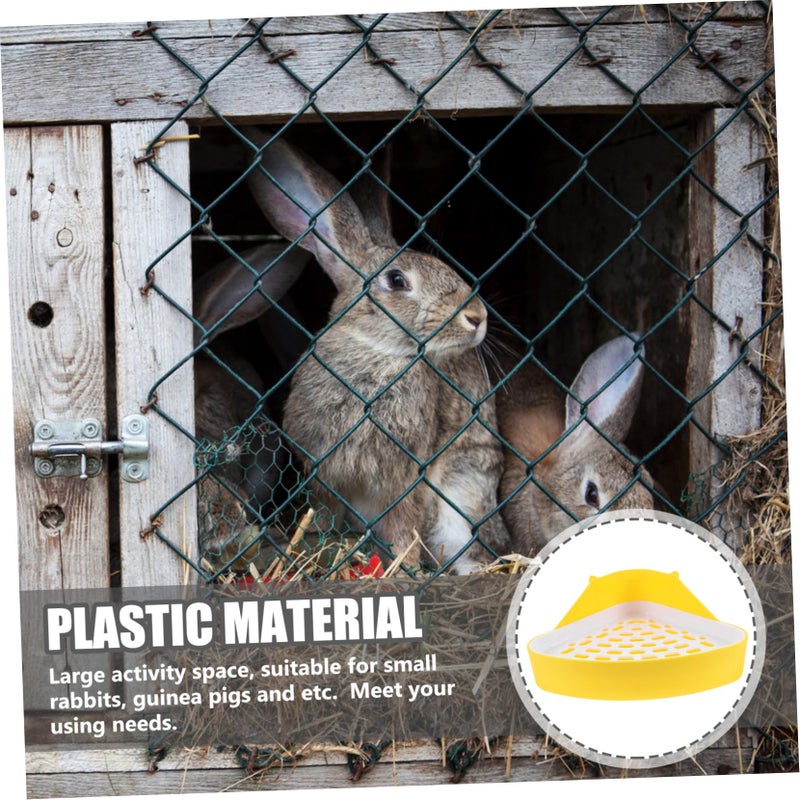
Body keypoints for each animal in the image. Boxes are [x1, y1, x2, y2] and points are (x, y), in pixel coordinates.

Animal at [240, 127, 509, 573]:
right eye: (397, 280)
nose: (477, 317)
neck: (377, 353)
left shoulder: (407, 475)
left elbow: (404, 524)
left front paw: (403, 565)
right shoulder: (323, 471)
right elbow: (325, 512)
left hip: (463, 502)